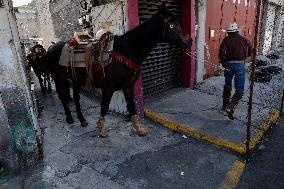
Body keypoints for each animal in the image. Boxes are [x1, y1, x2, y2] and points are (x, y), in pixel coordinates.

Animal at [45, 5, 191, 137]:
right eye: (173, 24)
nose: (189, 41)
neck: (126, 51)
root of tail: (51, 47)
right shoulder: (108, 88)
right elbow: (104, 106)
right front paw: (101, 129)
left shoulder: (128, 86)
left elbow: (132, 107)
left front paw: (138, 129)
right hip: (58, 78)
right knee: (62, 96)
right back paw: (69, 117)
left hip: (76, 80)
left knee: (76, 97)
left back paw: (82, 120)